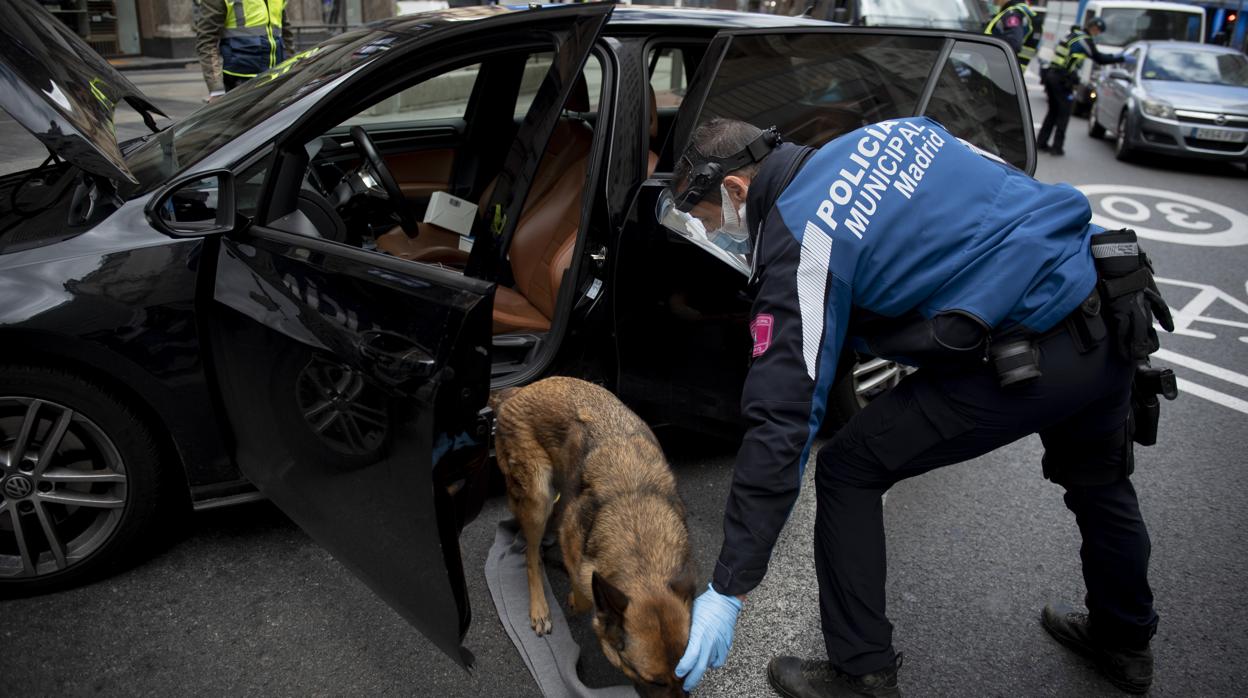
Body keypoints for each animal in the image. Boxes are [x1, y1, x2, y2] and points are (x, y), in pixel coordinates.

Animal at [491, 379, 698, 694]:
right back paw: (540, 607)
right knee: (529, 554)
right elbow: (583, 592)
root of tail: (516, 392)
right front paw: (576, 601)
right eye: (654, 681)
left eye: (685, 675)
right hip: (538, 497)